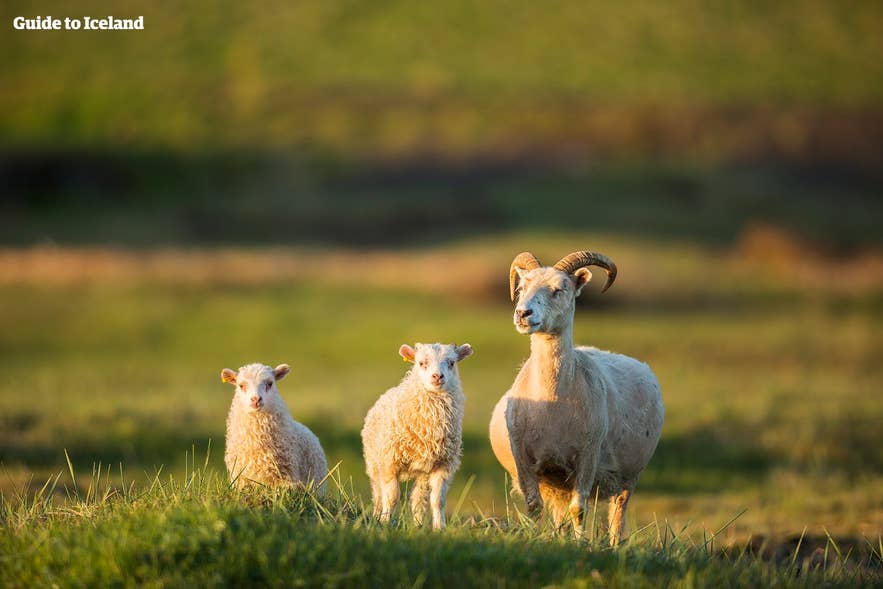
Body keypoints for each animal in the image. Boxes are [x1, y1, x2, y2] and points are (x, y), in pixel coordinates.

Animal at [361, 342, 473, 529]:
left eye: (451, 363)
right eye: (421, 363)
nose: (437, 376)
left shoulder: (443, 464)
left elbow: (438, 500)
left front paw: (439, 528)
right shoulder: (390, 462)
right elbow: (391, 497)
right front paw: (385, 523)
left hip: (422, 472)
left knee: (419, 499)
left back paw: (418, 525)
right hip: (374, 462)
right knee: (378, 493)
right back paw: (377, 515)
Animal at [488, 251, 664, 545]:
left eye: (560, 289)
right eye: (521, 288)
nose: (523, 313)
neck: (553, 404)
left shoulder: (587, 457)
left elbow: (579, 509)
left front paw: (581, 544)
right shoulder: (525, 460)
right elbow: (533, 507)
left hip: (627, 477)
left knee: (617, 515)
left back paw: (615, 545)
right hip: (556, 481)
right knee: (560, 514)